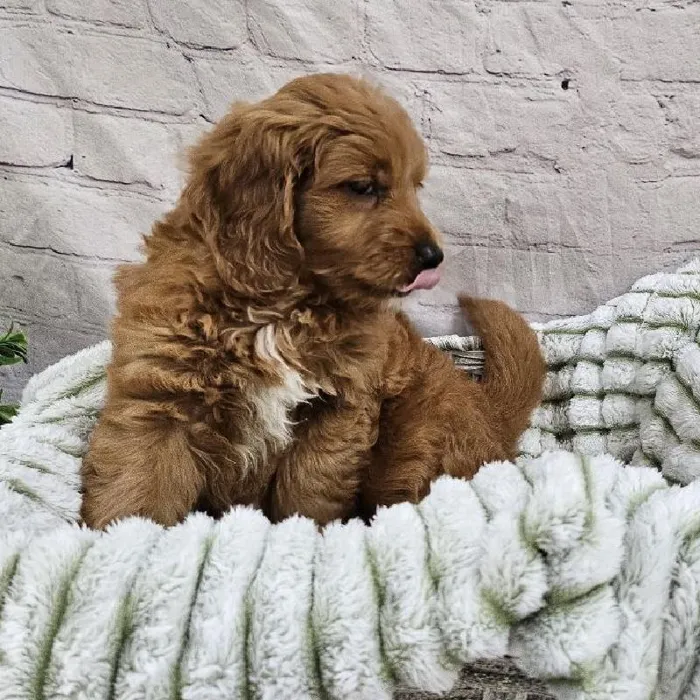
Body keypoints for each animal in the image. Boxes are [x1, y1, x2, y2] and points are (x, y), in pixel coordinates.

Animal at [80, 74, 546, 529]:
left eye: (414, 188)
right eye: (363, 187)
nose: (434, 256)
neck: (280, 307)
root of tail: (489, 411)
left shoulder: (335, 416)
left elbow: (307, 494)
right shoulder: (158, 404)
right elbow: (136, 493)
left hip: (417, 443)